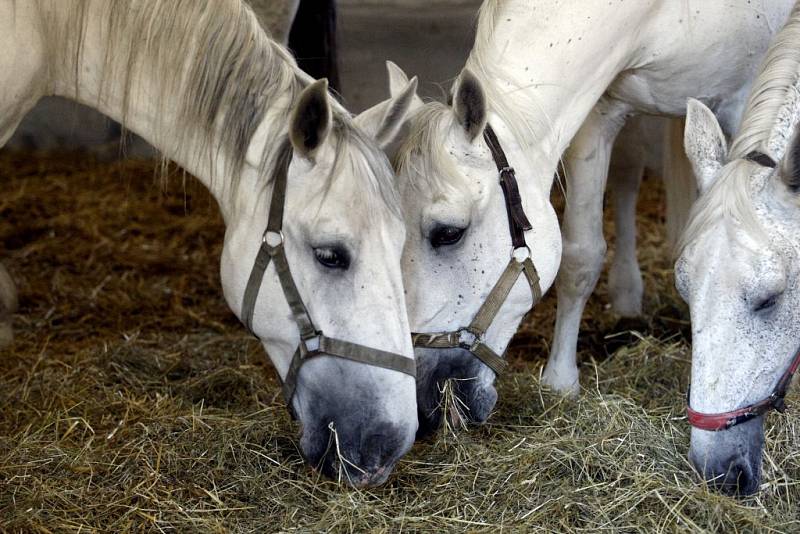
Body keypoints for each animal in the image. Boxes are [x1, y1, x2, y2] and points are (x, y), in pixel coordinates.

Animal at [380, 1, 792, 436]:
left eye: (448, 233)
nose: (423, 403)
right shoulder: (598, 113)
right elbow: (581, 256)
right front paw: (561, 381)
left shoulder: (745, 101)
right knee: (629, 173)